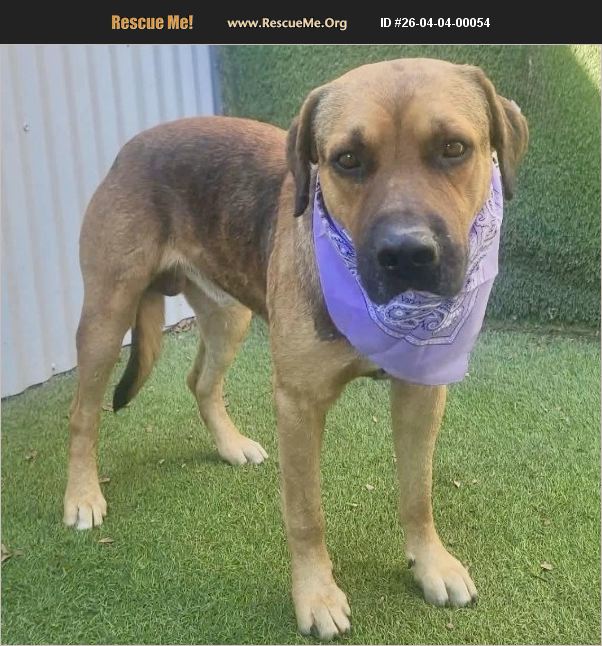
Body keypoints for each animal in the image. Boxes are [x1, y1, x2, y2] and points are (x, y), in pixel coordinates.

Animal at [64, 58, 528, 639]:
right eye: (347, 159)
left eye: (453, 148)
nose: (406, 254)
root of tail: (130, 146)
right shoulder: (299, 405)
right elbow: (307, 515)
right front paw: (316, 595)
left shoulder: (422, 390)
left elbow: (417, 491)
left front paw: (430, 564)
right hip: (108, 316)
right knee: (83, 413)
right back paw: (82, 495)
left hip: (230, 313)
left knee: (200, 380)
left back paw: (229, 444)